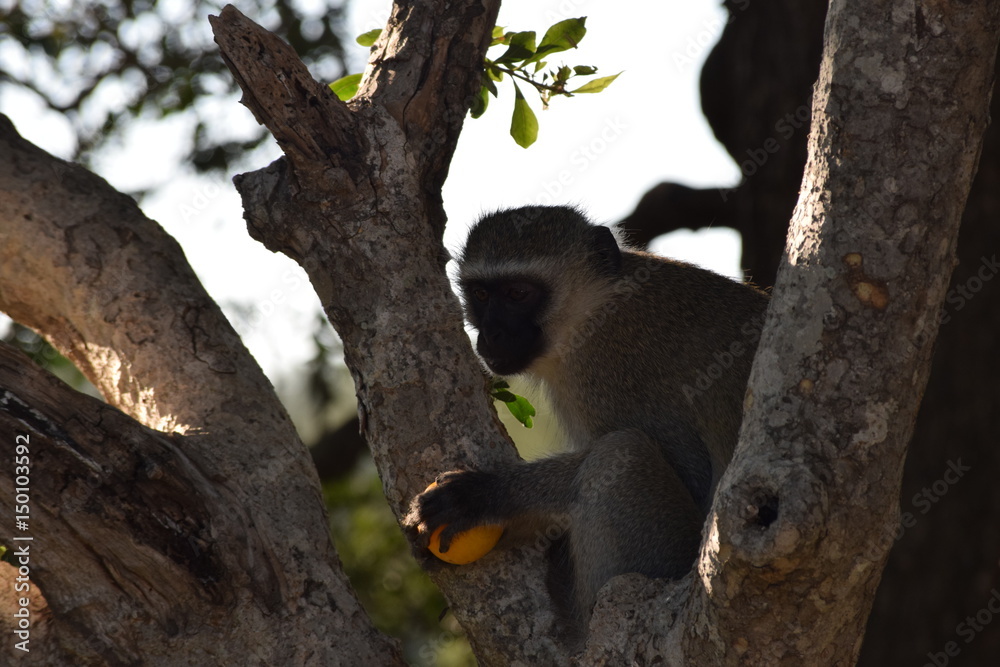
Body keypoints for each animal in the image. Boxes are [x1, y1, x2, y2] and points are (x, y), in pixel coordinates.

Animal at [405, 204, 770, 640]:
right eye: (481, 294)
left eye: (518, 294)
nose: (491, 334)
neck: (591, 310)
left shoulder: (608, 372)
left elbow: (692, 475)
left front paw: (485, 495)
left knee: (621, 453)